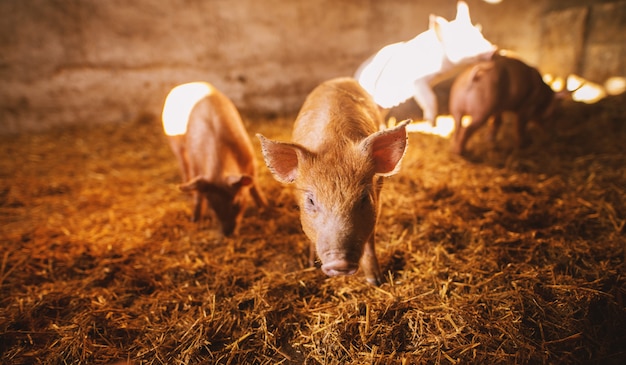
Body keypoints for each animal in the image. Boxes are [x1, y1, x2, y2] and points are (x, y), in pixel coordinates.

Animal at [161, 80, 266, 235]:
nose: (227, 233)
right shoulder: (196, 167)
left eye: (236, 203)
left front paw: (266, 208)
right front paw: (195, 220)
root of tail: (186, 84)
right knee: (184, 166)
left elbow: (254, 187)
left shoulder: (251, 161)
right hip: (175, 143)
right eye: (211, 206)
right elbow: (198, 195)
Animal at [256, 77, 408, 286]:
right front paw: (310, 264)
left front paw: (375, 282)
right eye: (311, 200)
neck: (334, 143)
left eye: (364, 198)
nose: (340, 263)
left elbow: (370, 243)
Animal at [354, 0, 494, 125]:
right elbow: (430, 99)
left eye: (479, 34)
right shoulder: (418, 81)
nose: (493, 49)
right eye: (463, 41)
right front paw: (431, 123)